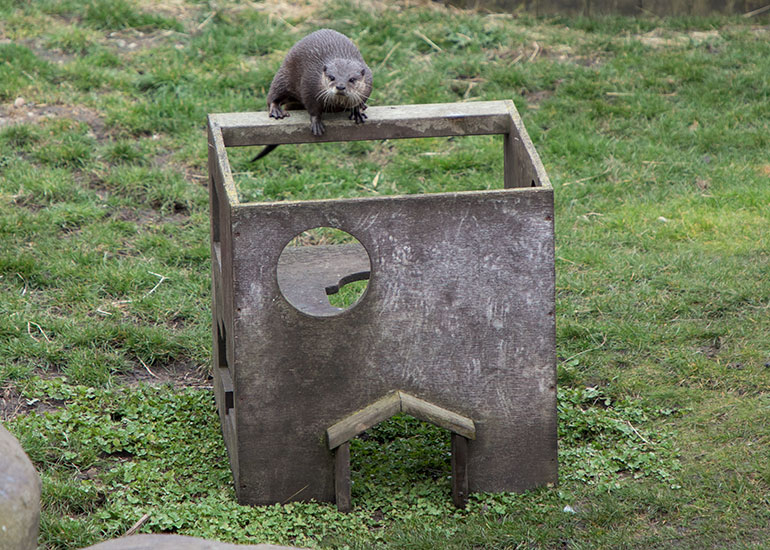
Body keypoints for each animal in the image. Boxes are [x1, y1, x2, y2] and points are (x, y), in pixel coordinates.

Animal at [252, 29, 373, 162]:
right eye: (332, 77)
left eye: (352, 79)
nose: (340, 86)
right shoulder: (309, 85)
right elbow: (312, 107)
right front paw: (316, 123)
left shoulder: (368, 83)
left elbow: (360, 100)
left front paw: (357, 111)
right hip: (283, 76)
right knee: (273, 95)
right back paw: (276, 111)